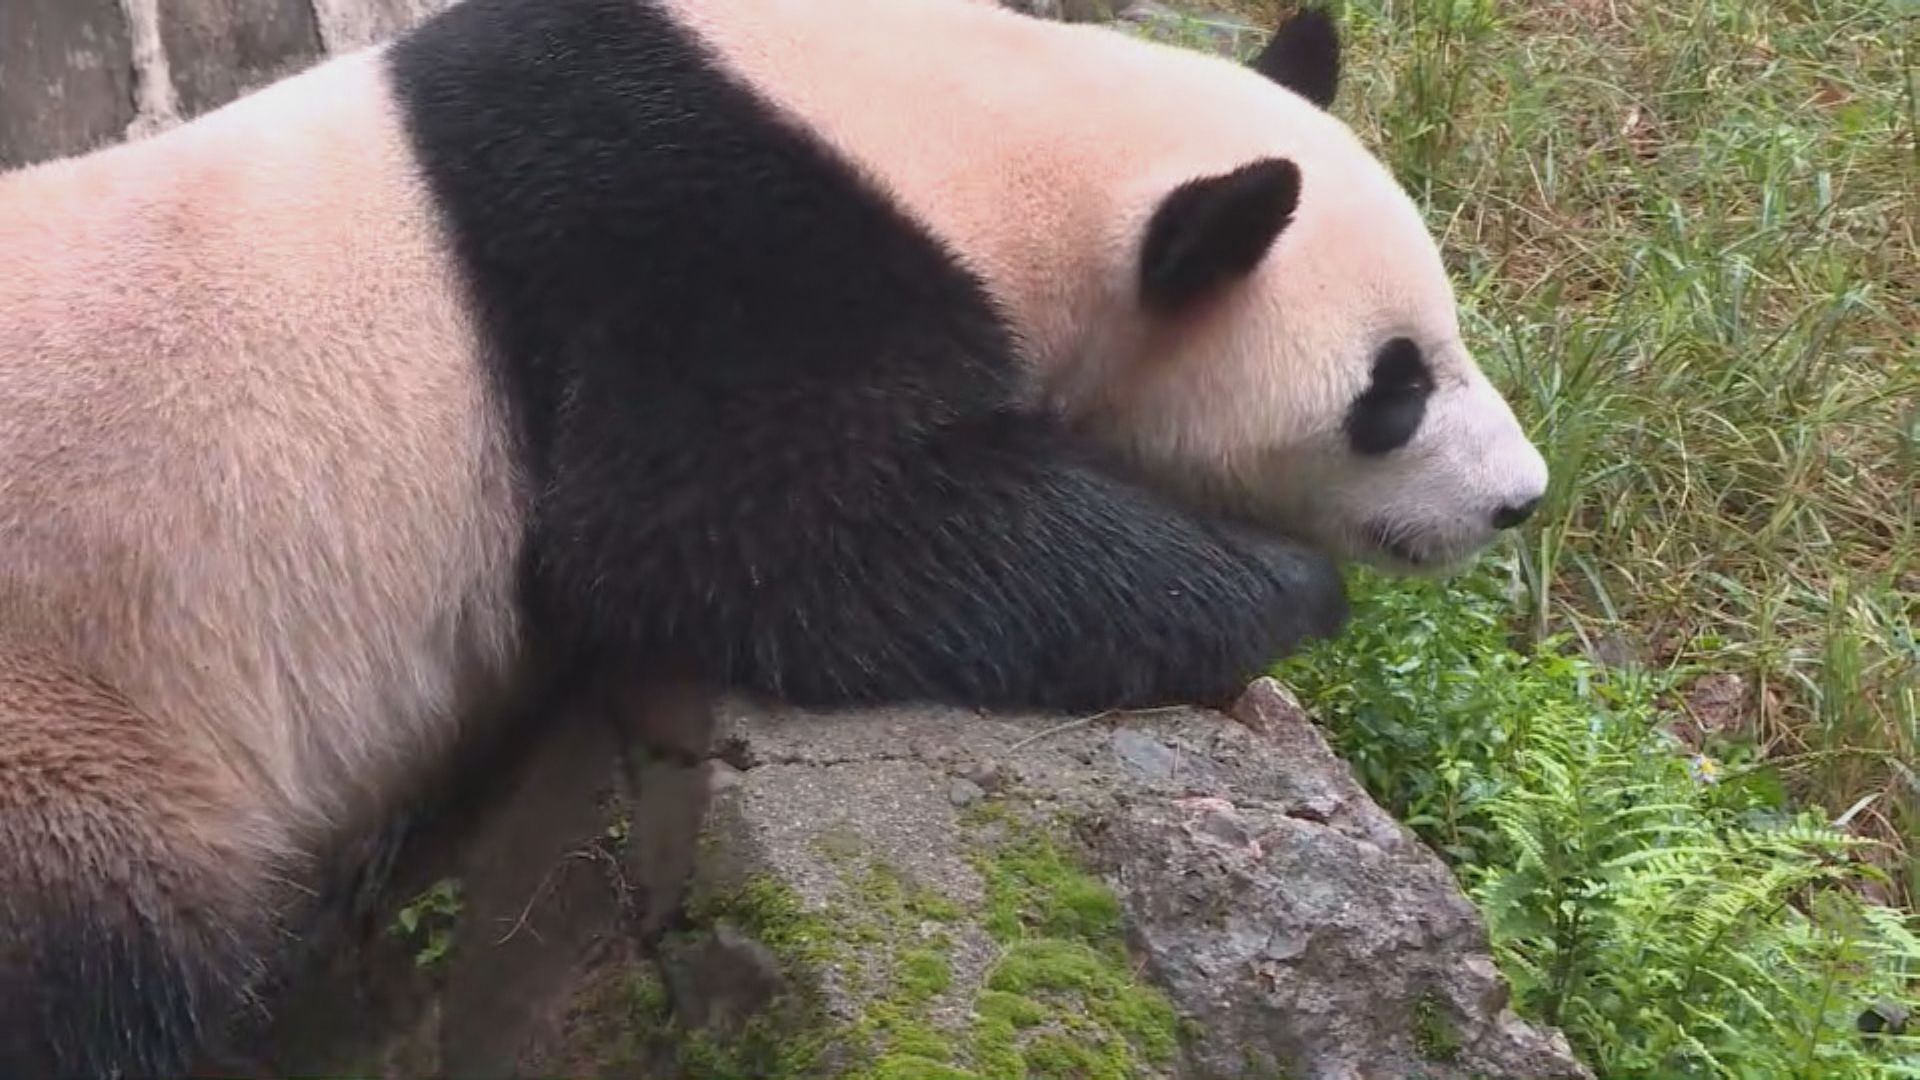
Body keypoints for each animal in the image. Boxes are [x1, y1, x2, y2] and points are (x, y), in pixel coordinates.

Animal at [0, 0, 1543, 1060]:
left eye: (1449, 333)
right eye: (1394, 389)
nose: (1519, 497)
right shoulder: (688, 236)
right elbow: (736, 528)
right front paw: (1276, 587)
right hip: (73, 724)